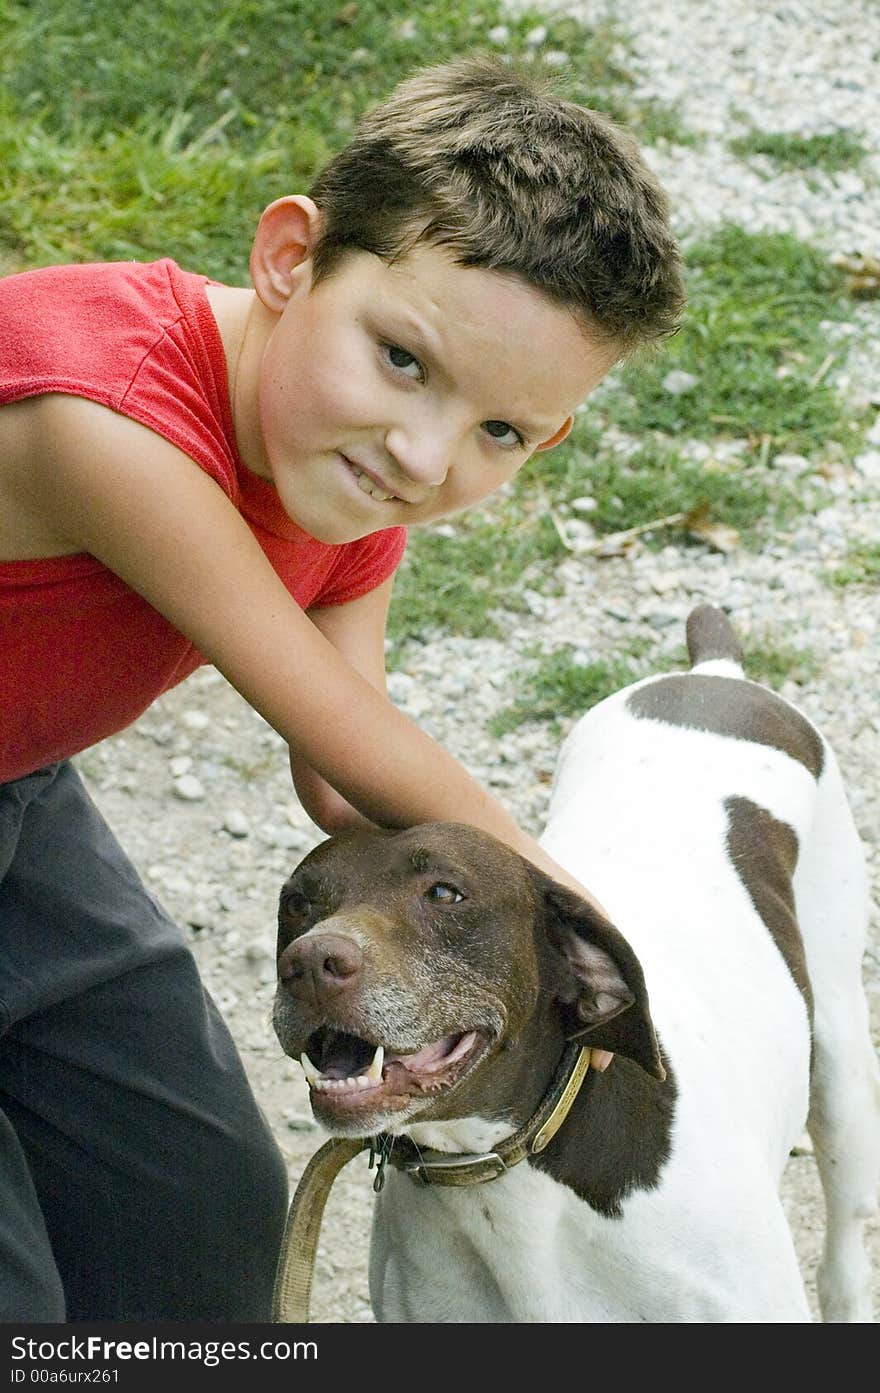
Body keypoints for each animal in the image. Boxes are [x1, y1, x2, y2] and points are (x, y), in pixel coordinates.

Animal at [271, 604, 874, 1320]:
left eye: (445, 893)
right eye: (295, 904)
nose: (309, 964)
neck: (502, 1185)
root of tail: (717, 671)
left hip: (840, 1067)